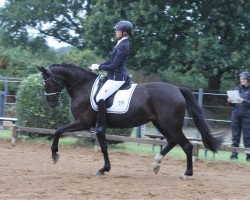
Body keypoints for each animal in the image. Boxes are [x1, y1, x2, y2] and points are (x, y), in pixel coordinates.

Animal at [38, 63, 223, 177]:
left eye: (47, 83)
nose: (51, 104)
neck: (84, 87)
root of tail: (177, 89)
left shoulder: (84, 123)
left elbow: (59, 130)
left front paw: (55, 154)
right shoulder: (95, 126)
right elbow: (103, 144)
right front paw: (105, 168)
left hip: (170, 124)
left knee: (186, 145)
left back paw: (186, 174)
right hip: (160, 123)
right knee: (172, 141)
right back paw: (156, 164)